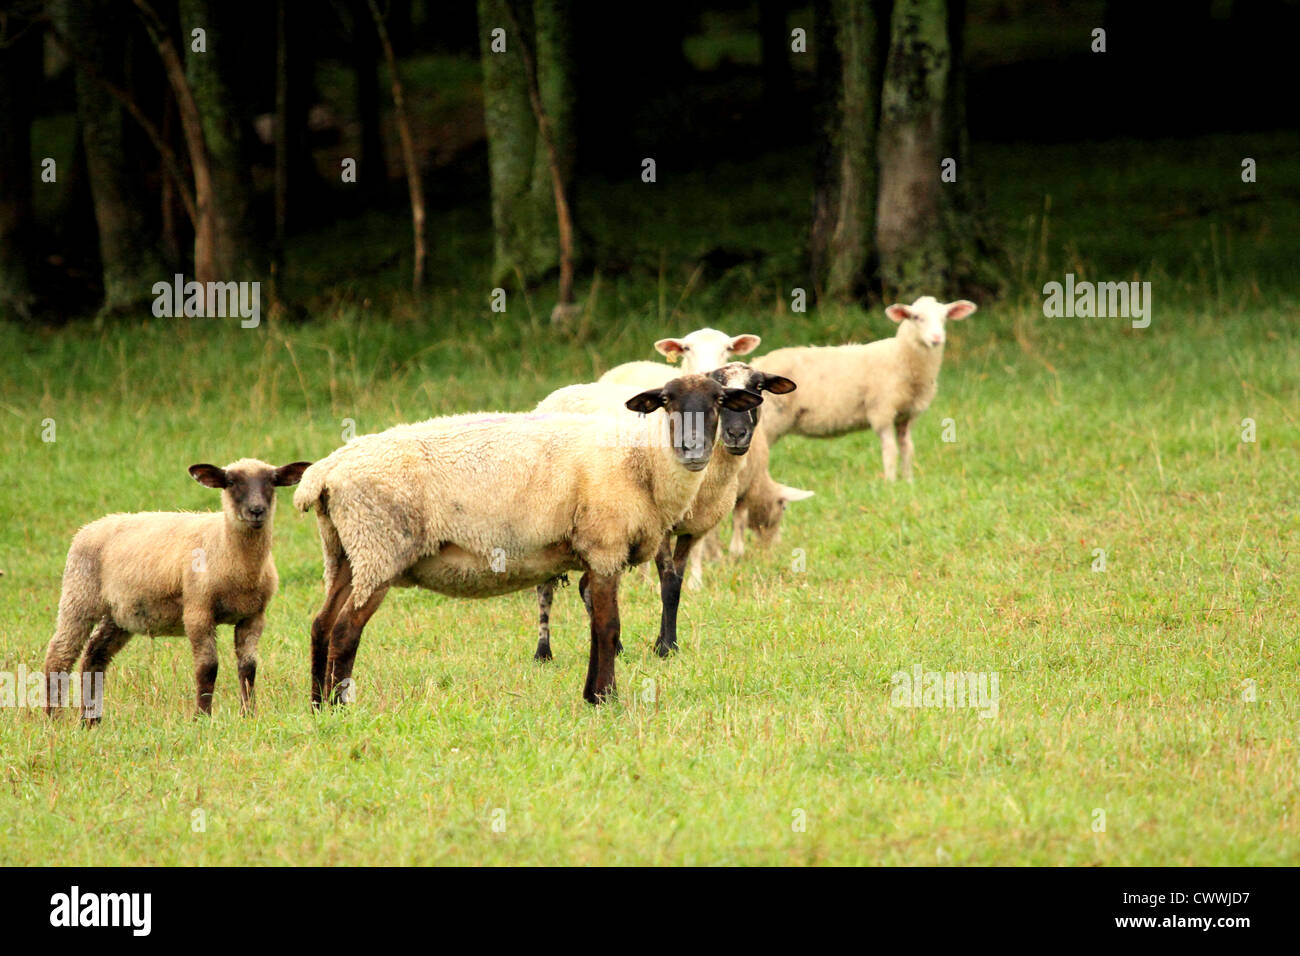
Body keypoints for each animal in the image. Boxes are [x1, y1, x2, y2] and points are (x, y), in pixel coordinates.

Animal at [41, 460, 310, 723]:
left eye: (272, 482)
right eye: (231, 482)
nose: (256, 511)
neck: (226, 548)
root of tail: (87, 528)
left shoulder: (253, 616)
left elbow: (248, 668)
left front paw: (248, 716)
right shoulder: (197, 610)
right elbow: (208, 667)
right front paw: (202, 718)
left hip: (120, 614)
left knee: (95, 655)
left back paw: (90, 720)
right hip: (79, 594)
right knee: (59, 654)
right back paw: (54, 717)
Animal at [293, 377, 759, 707]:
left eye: (718, 401)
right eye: (666, 401)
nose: (694, 449)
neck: (642, 462)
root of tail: (323, 474)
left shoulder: (593, 551)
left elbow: (597, 627)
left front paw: (592, 695)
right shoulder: (604, 545)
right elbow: (608, 627)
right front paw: (606, 699)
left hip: (344, 552)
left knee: (320, 625)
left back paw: (317, 707)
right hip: (377, 548)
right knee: (344, 631)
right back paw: (341, 706)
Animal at [525, 361, 790, 660]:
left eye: (758, 387)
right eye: (720, 383)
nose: (736, 434)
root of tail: (560, 392)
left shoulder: (692, 531)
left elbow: (678, 581)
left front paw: (660, 643)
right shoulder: (659, 527)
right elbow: (669, 583)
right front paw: (666, 647)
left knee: (587, 586)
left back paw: (616, 647)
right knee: (545, 588)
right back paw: (543, 652)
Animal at [754, 295, 977, 481]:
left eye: (944, 317)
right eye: (916, 317)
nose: (937, 338)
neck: (902, 356)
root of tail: (757, 363)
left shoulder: (906, 415)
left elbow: (907, 449)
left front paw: (909, 482)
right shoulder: (882, 411)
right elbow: (890, 450)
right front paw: (890, 483)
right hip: (770, 419)